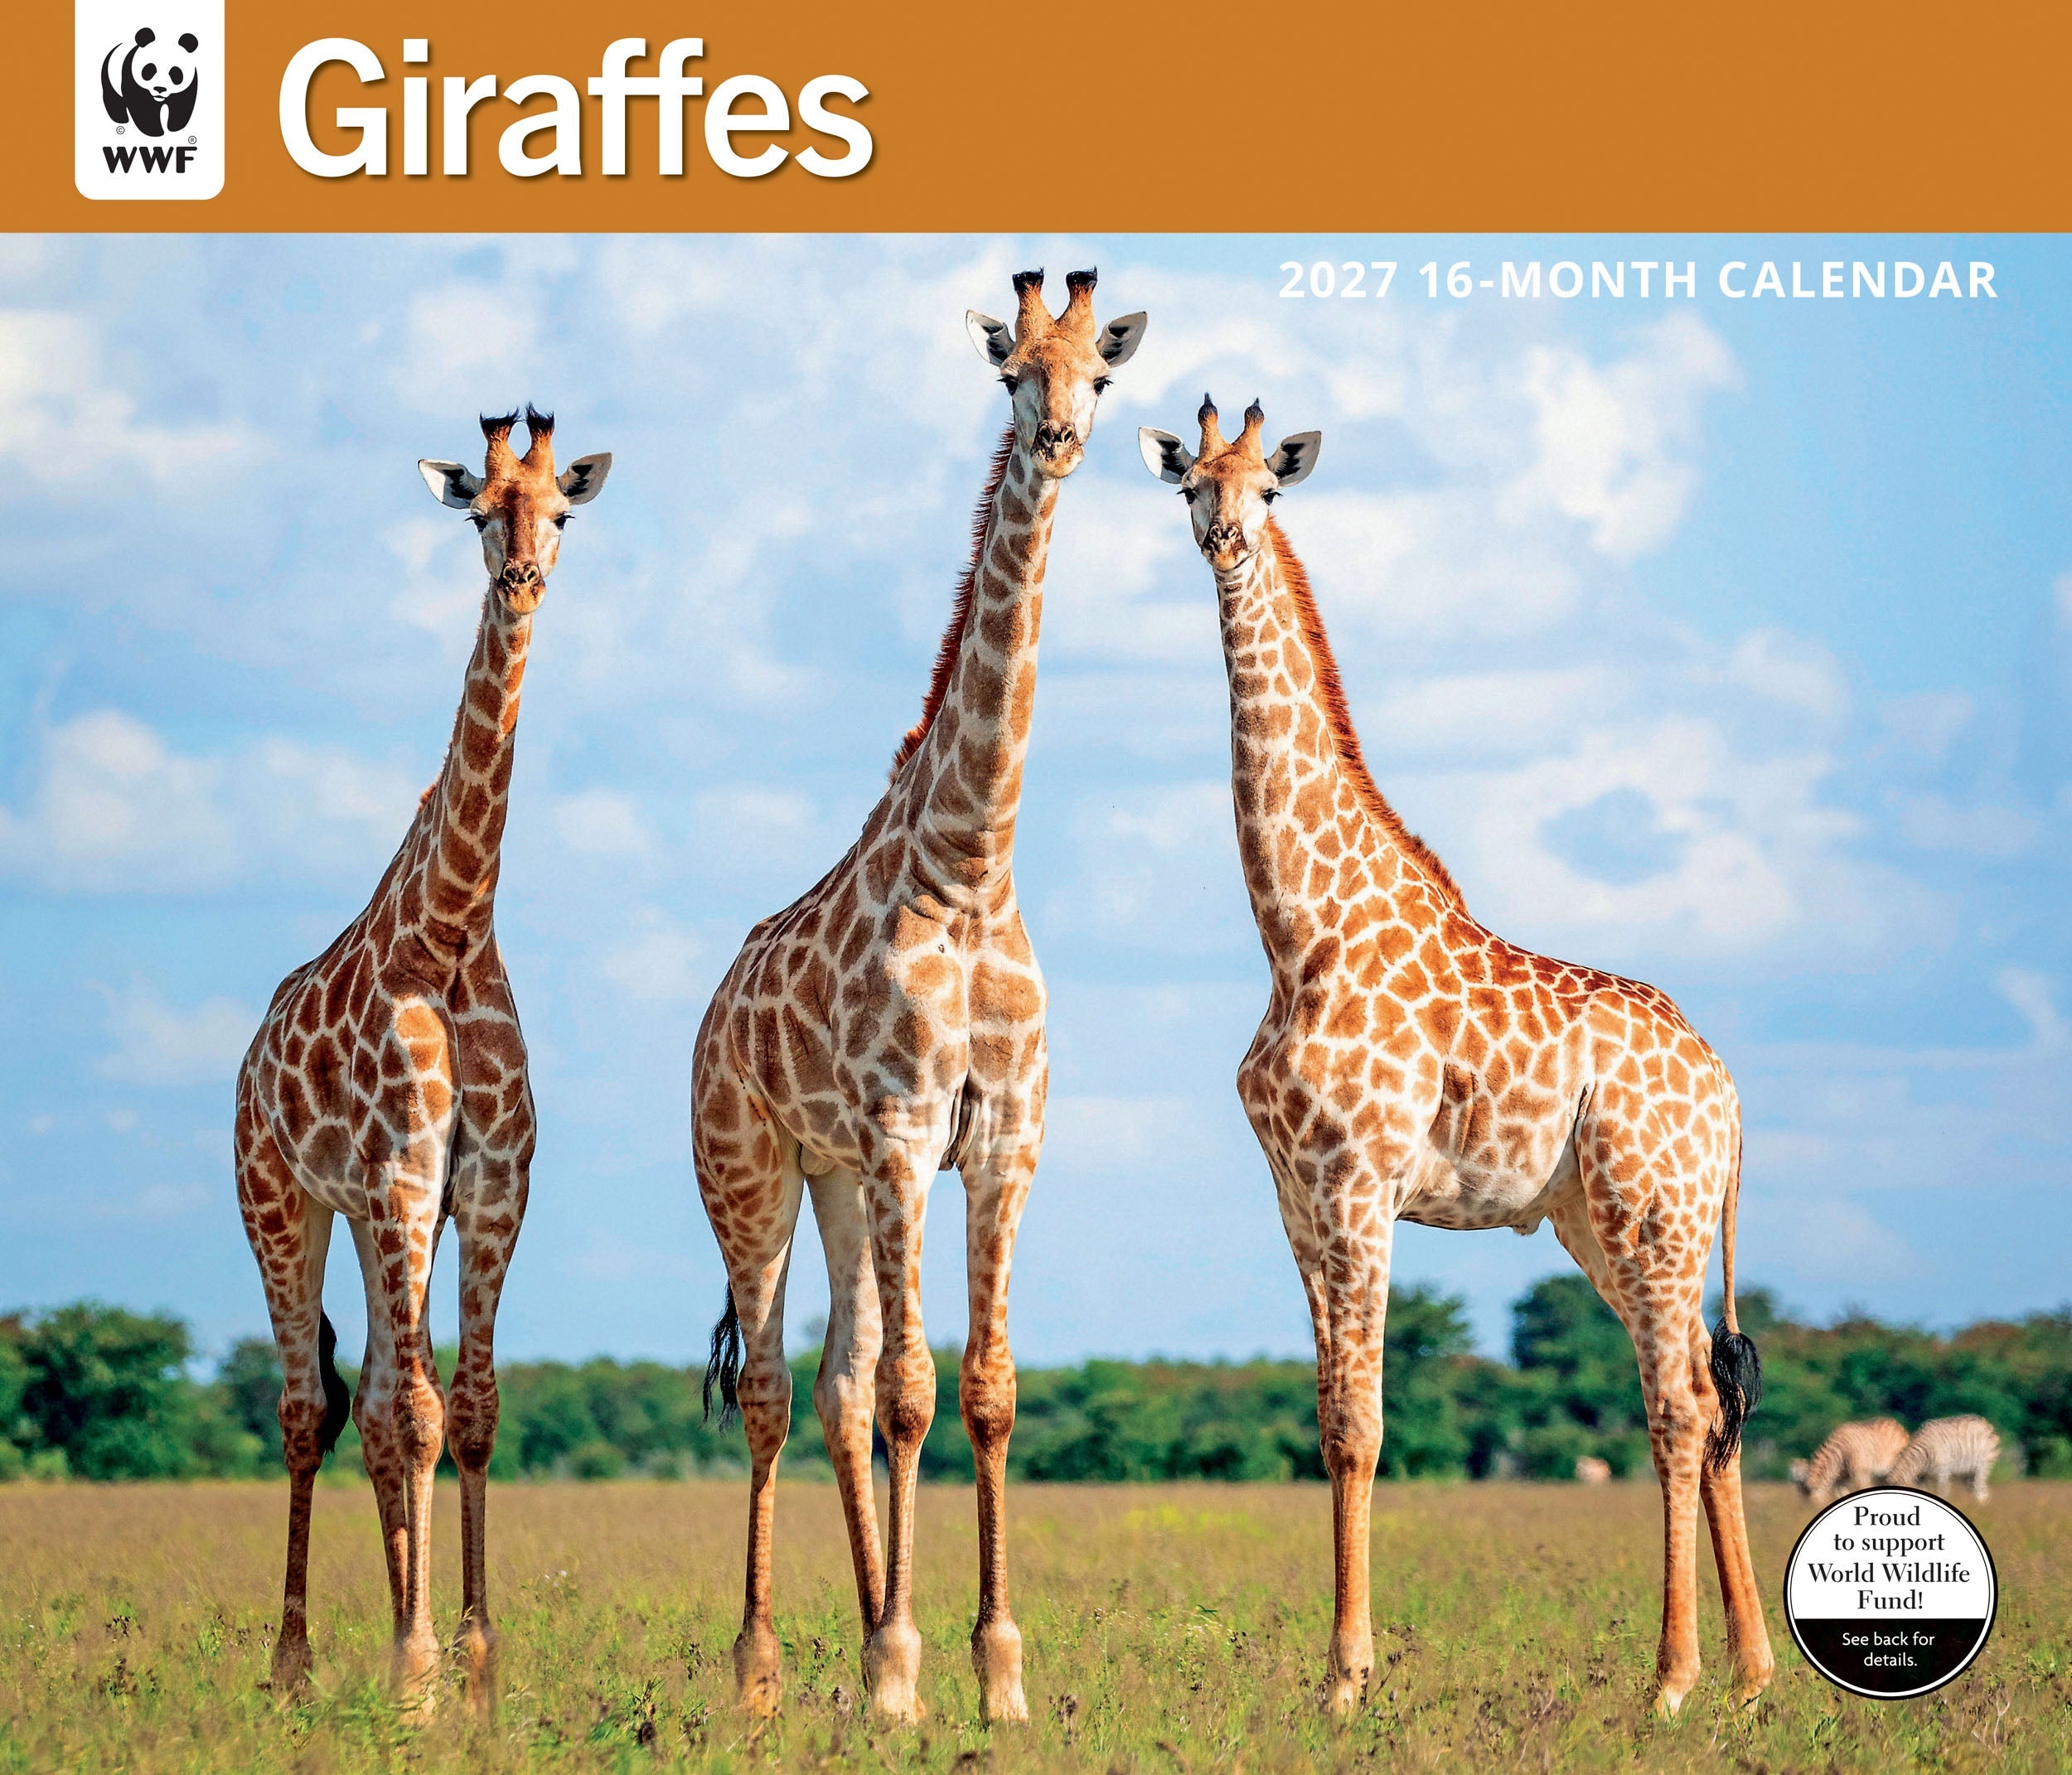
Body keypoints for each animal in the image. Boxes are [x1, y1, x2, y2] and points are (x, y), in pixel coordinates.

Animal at [234, 406, 610, 1713]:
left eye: (561, 510)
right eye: (481, 512)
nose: (524, 575)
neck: (450, 931)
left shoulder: (486, 1184)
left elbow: (474, 1407)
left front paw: (475, 1666)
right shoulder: (403, 1177)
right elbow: (425, 1411)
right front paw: (415, 1668)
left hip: (363, 1214)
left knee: (380, 1404)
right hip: (281, 1200)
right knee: (313, 1407)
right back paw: (294, 1664)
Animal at [691, 269, 1146, 1725]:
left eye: (1098, 378)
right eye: (1013, 375)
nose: (1059, 440)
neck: (969, 863)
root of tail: (714, 1007)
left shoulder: (1001, 1136)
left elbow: (983, 1389)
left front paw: (992, 1672)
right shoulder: (902, 1127)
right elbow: (911, 1390)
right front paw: (900, 1674)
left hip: (834, 1179)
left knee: (834, 1385)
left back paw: (851, 1637)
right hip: (754, 1170)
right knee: (778, 1386)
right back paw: (764, 1666)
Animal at [1138, 397, 1774, 1718]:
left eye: (1265, 491)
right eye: (1188, 487)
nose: (1223, 539)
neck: (1295, 929)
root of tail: (1730, 1094)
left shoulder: (1360, 1183)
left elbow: (1364, 1424)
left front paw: (1347, 1678)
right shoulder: (1296, 1196)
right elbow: (1330, 1415)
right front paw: (1338, 1672)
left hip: (1651, 1213)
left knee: (1680, 1402)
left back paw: (1673, 1681)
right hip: (1608, 1223)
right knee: (1710, 1391)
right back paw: (1749, 1675)